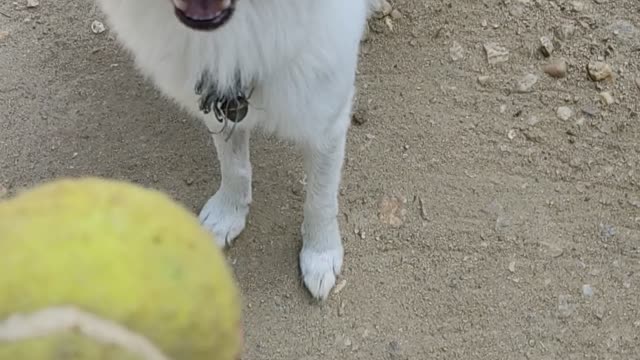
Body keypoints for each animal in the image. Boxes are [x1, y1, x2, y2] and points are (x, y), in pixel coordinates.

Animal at [95, 0, 380, 300]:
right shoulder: (219, 102)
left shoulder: (327, 122)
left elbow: (321, 198)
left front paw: (320, 254)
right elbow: (234, 168)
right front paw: (228, 214)